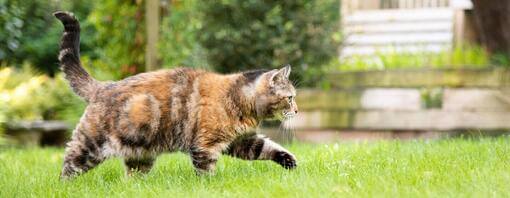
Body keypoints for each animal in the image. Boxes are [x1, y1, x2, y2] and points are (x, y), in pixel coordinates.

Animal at [52, 11, 298, 179]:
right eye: (290, 98)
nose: (296, 110)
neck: (238, 97)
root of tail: (103, 86)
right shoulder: (206, 145)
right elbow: (206, 171)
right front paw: (209, 184)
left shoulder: (240, 141)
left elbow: (267, 148)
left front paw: (289, 160)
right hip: (90, 146)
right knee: (69, 165)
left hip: (140, 154)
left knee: (131, 177)